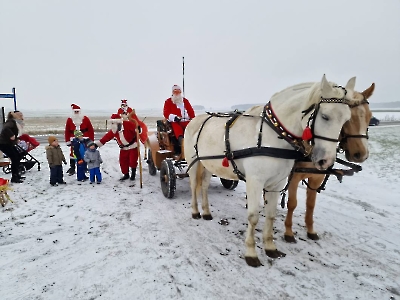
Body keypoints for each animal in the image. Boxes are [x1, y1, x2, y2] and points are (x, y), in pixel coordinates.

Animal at [185, 75, 362, 268]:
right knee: (193, 186)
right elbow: (253, 216)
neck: (273, 136)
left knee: (204, 186)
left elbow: (270, 215)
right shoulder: (255, 182)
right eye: (325, 116)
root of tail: (195, 120)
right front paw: (251, 253)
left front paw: (270, 247)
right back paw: (195, 212)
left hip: (208, 164)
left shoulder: (277, 183)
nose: (326, 161)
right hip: (193, 163)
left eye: (346, 119)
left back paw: (206, 212)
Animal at [282, 82, 374, 244]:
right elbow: (292, 203)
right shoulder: (294, 177)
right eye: (349, 120)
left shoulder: (316, 178)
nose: (361, 154)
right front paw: (288, 232)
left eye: (370, 117)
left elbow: (311, 205)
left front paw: (311, 230)